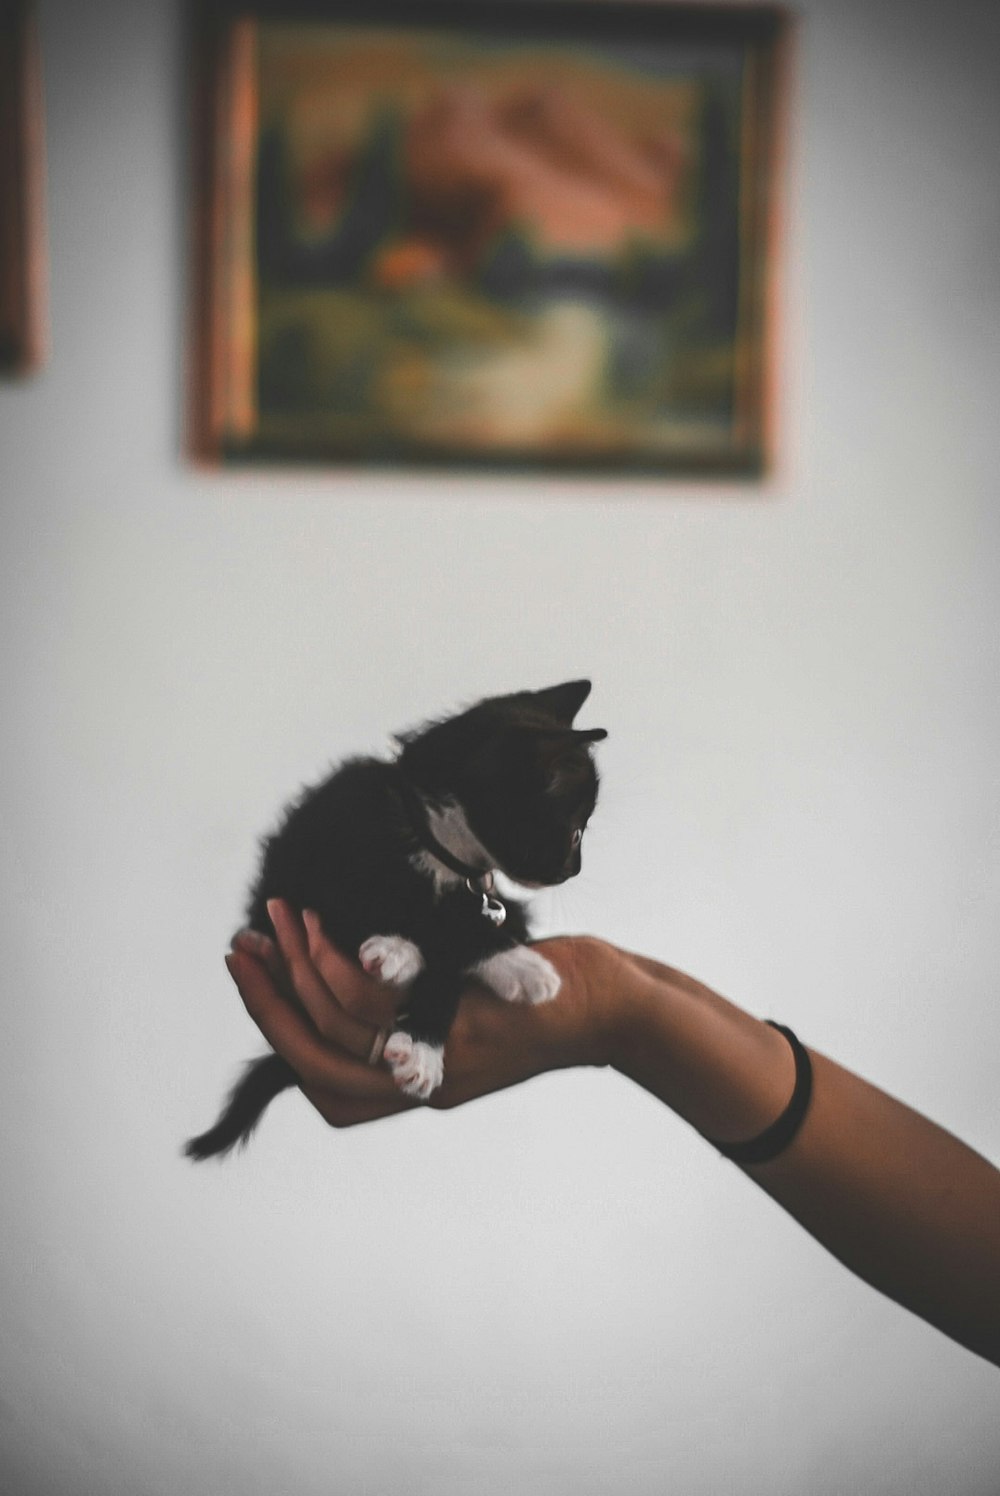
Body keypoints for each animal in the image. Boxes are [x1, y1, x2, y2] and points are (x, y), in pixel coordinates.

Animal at [185, 679, 610, 1154]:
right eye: (574, 833)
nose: (574, 870)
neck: (433, 846)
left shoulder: (498, 905)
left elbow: (452, 957)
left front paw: (422, 1047)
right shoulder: (307, 877)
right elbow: (410, 919)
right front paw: (408, 951)